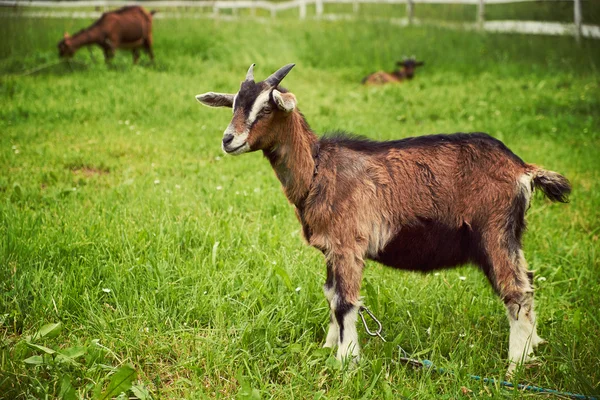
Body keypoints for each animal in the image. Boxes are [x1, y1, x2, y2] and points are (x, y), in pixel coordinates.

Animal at [196, 63, 572, 376]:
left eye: (266, 107)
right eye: (234, 105)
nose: (228, 140)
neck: (319, 170)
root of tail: (522, 169)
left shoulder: (348, 244)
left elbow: (345, 302)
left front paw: (347, 362)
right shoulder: (331, 248)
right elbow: (330, 295)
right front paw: (328, 347)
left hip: (494, 232)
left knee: (517, 292)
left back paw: (514, 367)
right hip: (511, 235)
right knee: (528, 282)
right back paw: (532, 349)